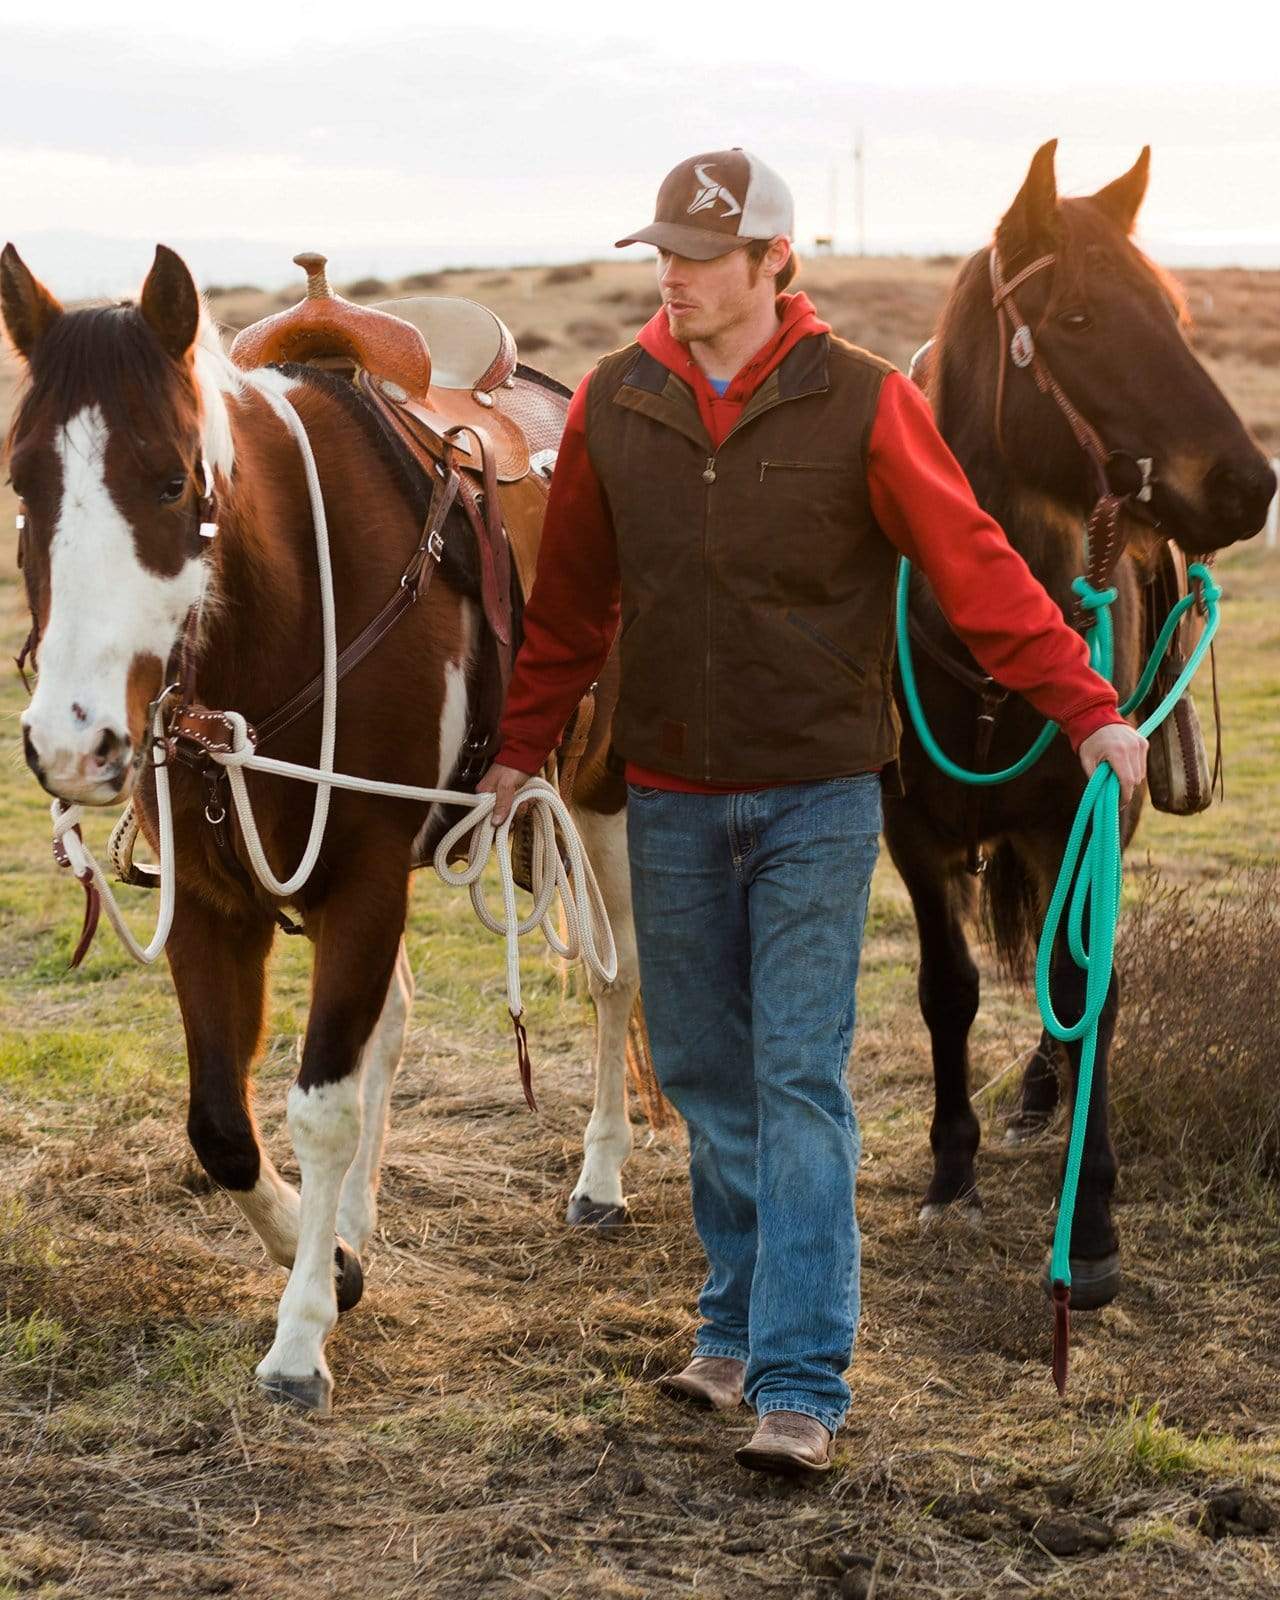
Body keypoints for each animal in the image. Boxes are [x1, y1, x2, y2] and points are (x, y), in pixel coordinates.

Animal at [0, 243, 640, 1408]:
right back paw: (357, 1217)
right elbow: (222, 1124)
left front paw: (301, 1334)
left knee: (618, 981)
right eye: (25, 483)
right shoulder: (214, 903)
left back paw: (601, 1175)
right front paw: (332, 1254)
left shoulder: (366, 881)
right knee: (389, 1022)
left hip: (597, 790)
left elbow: (320, 1107)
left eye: (172, 480)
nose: (73, 740)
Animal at [896, 140, 1273, 1299]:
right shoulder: (911, 836)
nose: (1249, 485)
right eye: (1074, 318)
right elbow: (948, 989)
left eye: (1175, 312)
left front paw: (1092, 1217)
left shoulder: (1085, 813)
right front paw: (951, 1173)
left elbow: (1087, 983)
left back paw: (1046, 1085)